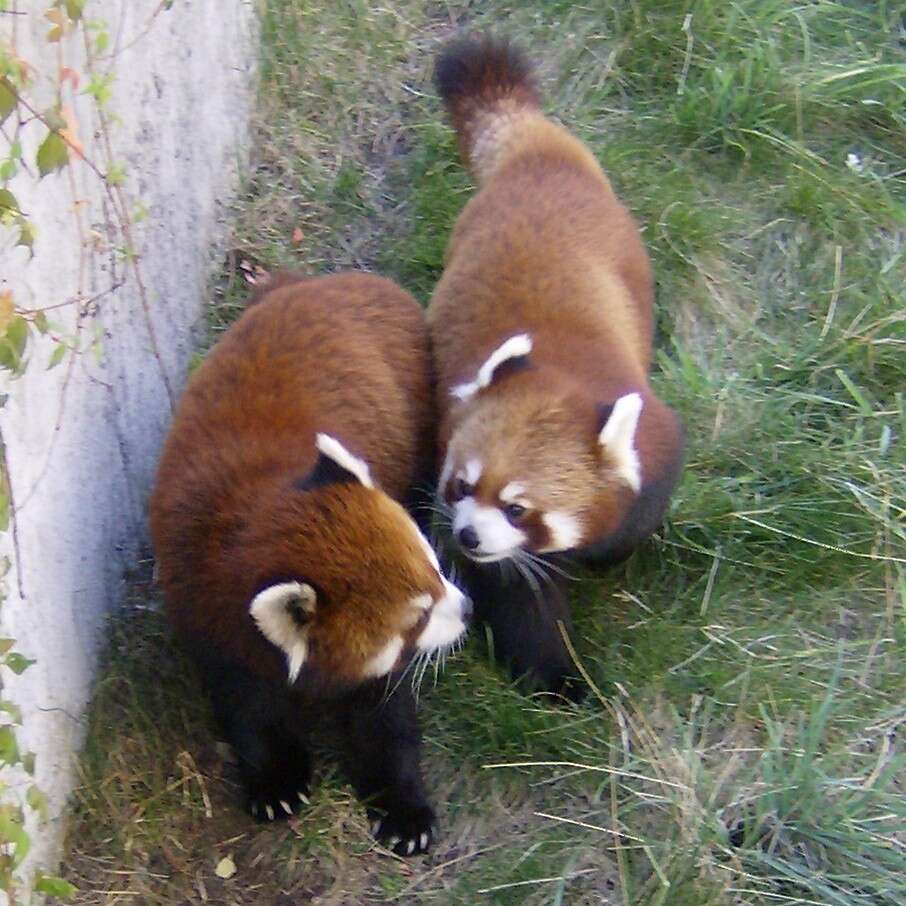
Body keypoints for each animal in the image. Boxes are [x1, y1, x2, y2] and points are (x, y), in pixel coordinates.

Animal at [149, 272, 470, 852]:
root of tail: (338, 279)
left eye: (436, 566)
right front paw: (275, 781)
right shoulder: (205, 617)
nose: (468, 611)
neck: (248, 520)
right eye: (419, 616)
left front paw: (403, 809)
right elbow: (247, 707)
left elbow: (384, 715)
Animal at [428, 37, 680, 692]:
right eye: (462, 484)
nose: (466, 534)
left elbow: (639, 514)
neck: (561, 374)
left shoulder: (655, 443)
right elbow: (524, 606)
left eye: (518, 507)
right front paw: (560, 681)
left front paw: (610, 554)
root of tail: (537, 160)